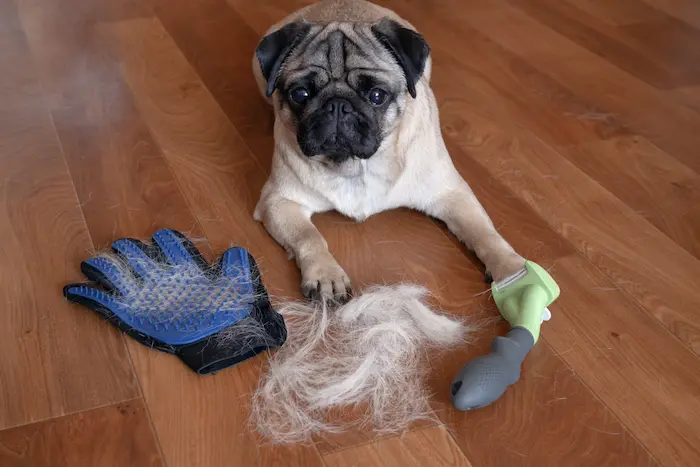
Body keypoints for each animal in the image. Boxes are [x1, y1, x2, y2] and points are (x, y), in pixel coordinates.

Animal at [252, 0, 524, 304]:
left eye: (377, 96)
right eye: (300, 94)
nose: (337, 105)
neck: (356, 167)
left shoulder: (452, 195)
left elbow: (484, 233)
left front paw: (511, 270)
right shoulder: (279, 201)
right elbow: (309, 236)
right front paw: (326, 274)